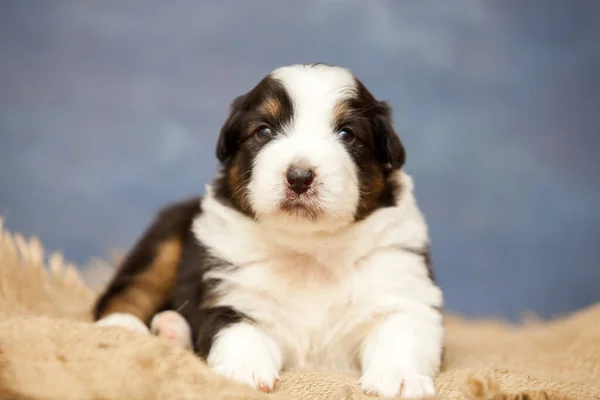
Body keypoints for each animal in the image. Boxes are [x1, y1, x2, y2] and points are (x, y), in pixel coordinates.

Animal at [92, 64, 440, 398]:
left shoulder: (404, 290)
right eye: (264, 131)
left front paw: (399, 379)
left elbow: (402, 331)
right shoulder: (231, 295)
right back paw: (124, 329)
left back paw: (170, 329)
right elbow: (239, 333)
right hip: (166, 238)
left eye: (347, 133)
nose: (299, 176)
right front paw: (241, 372)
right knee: (127, 291)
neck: (310, 251)